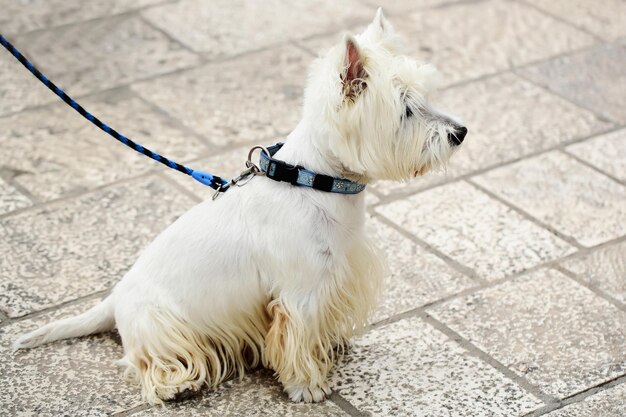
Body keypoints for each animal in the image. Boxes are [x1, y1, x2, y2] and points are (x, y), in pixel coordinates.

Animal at [14, 9, 464, 404]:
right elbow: (294, 339)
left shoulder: (335, 274)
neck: (315, 180)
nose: (460, 132)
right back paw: (178, 384)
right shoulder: (300, 292)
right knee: (147, 361)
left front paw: (327, 347)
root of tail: (113, 301)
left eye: (427, 95)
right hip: (160, 322)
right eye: (406, 109)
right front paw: (307, 386)